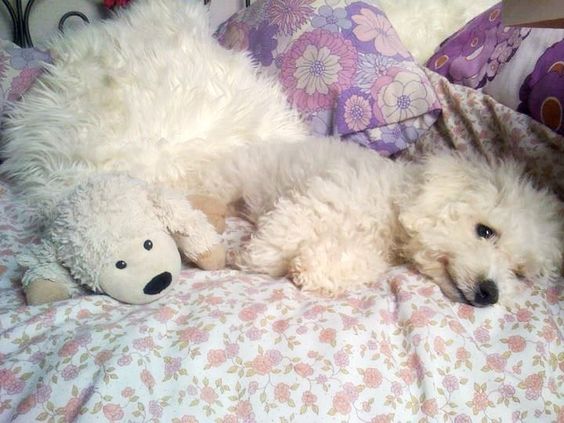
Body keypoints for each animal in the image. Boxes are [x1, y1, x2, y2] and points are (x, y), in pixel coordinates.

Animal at [214, 140, 560, 308]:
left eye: (518, 272)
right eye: (485, 231)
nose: (491, 293)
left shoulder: (373, 253)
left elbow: (355, 263)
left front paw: (311, 268)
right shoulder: (325, 197)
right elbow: (285, 230)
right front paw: (257, 255)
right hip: (233, 178)